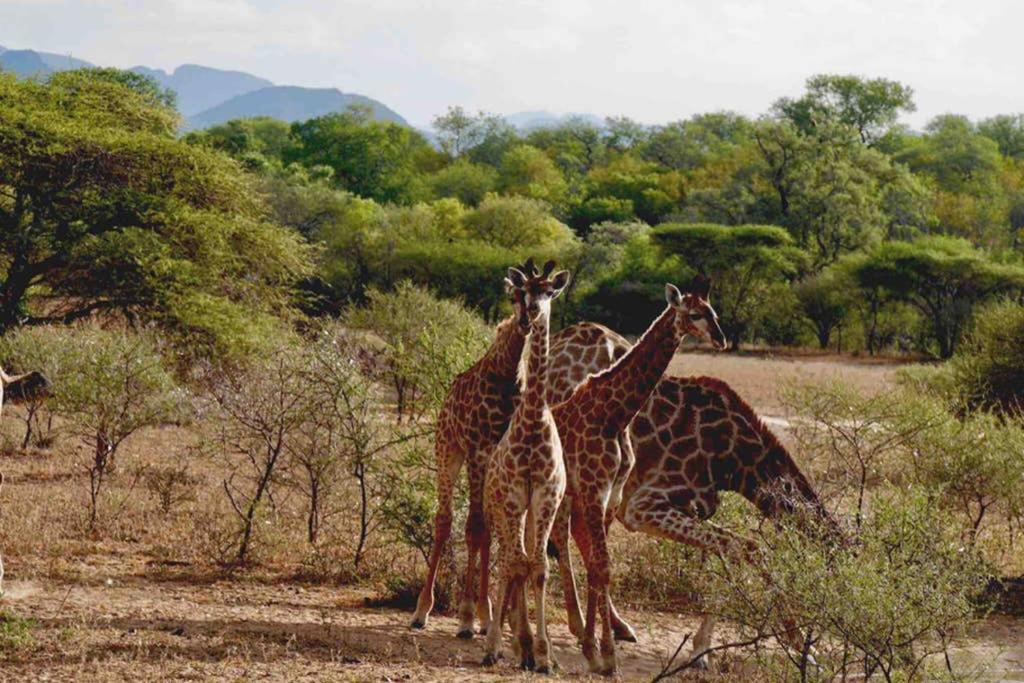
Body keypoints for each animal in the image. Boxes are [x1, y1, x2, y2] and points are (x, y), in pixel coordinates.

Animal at [552, 276, 729, 671]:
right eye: (694, 313)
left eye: (713, 311)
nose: (722, 340)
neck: (615, 414)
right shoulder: (594, 488)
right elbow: (601, 566)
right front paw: (603, 655)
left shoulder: (610, 493)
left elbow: (599, 567)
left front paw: (596, 649)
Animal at [618, 374, 843, 667]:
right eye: (838, 573)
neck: (732, 460)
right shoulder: (641, 506)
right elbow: (739, 547)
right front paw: (701, 651)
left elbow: (747, 549)